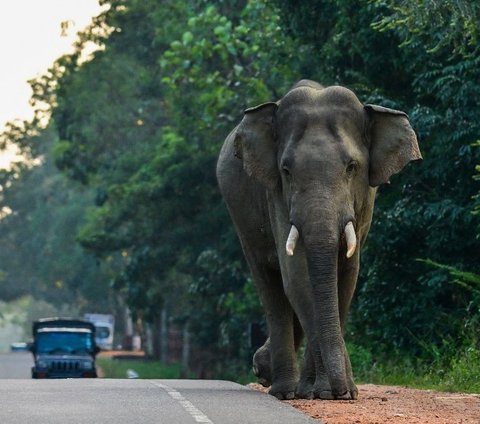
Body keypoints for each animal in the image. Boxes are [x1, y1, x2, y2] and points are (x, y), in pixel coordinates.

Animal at [216, 80, 422, 400]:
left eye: (351, 167)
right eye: (286, 170)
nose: (345, 392)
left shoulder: (365, 202)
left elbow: (347, 277)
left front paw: (335, 392)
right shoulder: (276, 195)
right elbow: (298, 277)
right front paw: (327, 392)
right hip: (239, 215)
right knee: (270, 285)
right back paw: (283, 390)